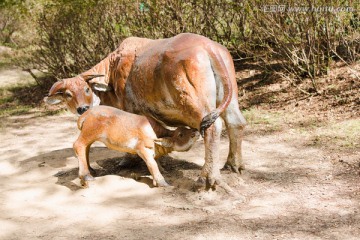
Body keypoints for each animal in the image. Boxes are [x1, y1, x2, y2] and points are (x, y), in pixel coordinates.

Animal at [44, 32, 248, 189]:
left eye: (86, 89)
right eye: (67, 94)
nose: (83, 109)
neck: (113, 69)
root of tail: (209, 47)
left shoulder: (131, 109)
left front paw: (128, 160)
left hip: (195, 103)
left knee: (213, 127)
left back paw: (207, 177)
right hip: (231, 98)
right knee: (236, 123)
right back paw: (233, 165)